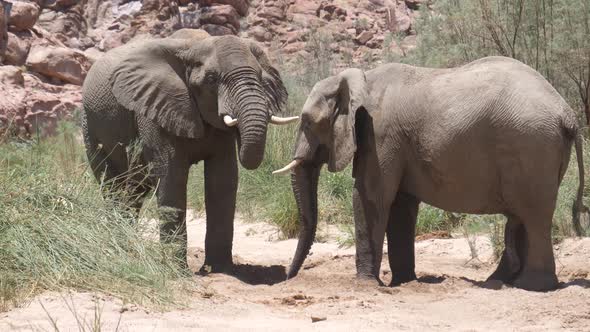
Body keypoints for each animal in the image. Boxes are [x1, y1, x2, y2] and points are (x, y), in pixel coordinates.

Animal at [81, 34, 298, 272]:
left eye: (260, 76)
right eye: (212, 79)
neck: (193, 45)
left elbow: (223, 178)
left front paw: (218, 269)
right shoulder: (154, 107)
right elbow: (172, 175)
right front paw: (177, 271)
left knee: (134, 192)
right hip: (90, 126)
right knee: (113, 187)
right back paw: (119, 250)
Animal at [276, 56, 588, 290]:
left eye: (307, 122)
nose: (288, 277)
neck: (361, 79)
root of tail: (567, 113)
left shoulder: (380, 135)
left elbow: (371, 196)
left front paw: (366, 284)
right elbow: (401, 205)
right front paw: (404, 283)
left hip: (532, 146)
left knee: (533, 216)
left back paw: (530, 286)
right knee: (522, 215)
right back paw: (501, 280)